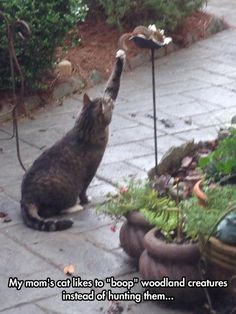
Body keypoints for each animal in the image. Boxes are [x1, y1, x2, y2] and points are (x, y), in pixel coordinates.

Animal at [20, 49, 125, 231]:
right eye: (109, 105)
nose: (111, 102)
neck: (84, 128)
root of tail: (26, 198)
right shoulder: (89, 172)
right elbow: (84, 190)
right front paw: (85, 200)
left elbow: (112, 84)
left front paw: (120, 57)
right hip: (64, 191)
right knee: (50, 210)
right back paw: (73, 207)